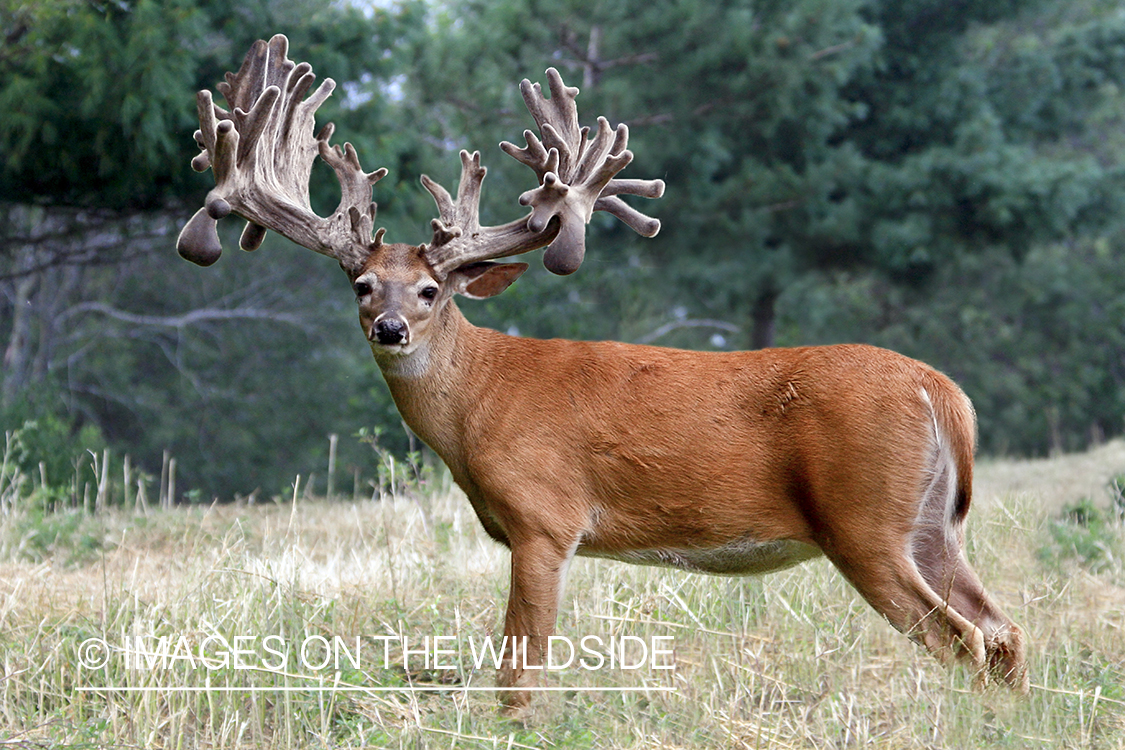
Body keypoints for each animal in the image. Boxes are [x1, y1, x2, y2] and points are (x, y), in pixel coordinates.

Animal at [177, 35, 1030, 715]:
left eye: (430, 291)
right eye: (361, 284)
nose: (390, 329)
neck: (479, 401)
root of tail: (943, 393)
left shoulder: (544, 517)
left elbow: (518, 673)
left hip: (866, 521)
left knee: (961, 641)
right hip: (932, 525)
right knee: (1004, 634)